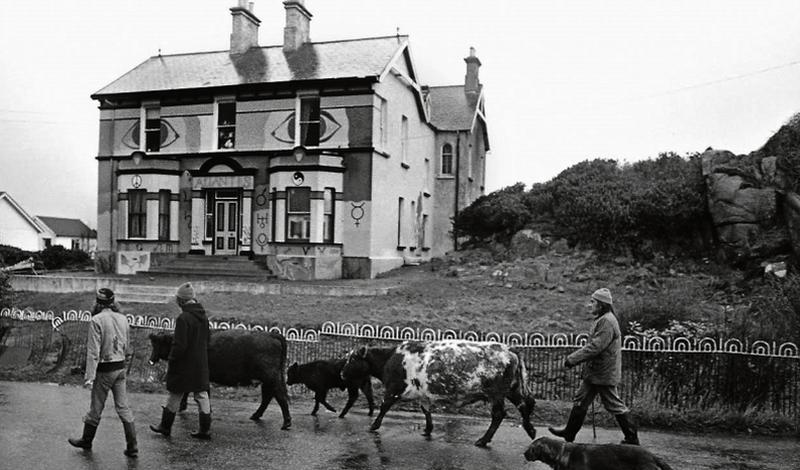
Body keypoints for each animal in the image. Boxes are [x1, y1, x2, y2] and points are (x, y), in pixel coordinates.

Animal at [148, 330, 292, 430]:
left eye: (158, 343)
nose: (151, 359)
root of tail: (272, 335)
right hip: (267, 380)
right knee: (268, 396)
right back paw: (256, 415)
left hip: (270, 378)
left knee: (279, 396)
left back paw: (286, 423)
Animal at [340, 340, 536, 446]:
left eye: (352, 358)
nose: (342, 373)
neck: (391, 358)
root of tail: (509, 349)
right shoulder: (422, 392)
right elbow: (426, 410)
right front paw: (428, 429)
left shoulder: (394, 388)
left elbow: (384, 406)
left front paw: (374, 425)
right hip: (512, 389)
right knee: (525, 404)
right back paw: (530, 429)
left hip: (497, 393)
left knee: (499, 414)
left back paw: (483, 440)